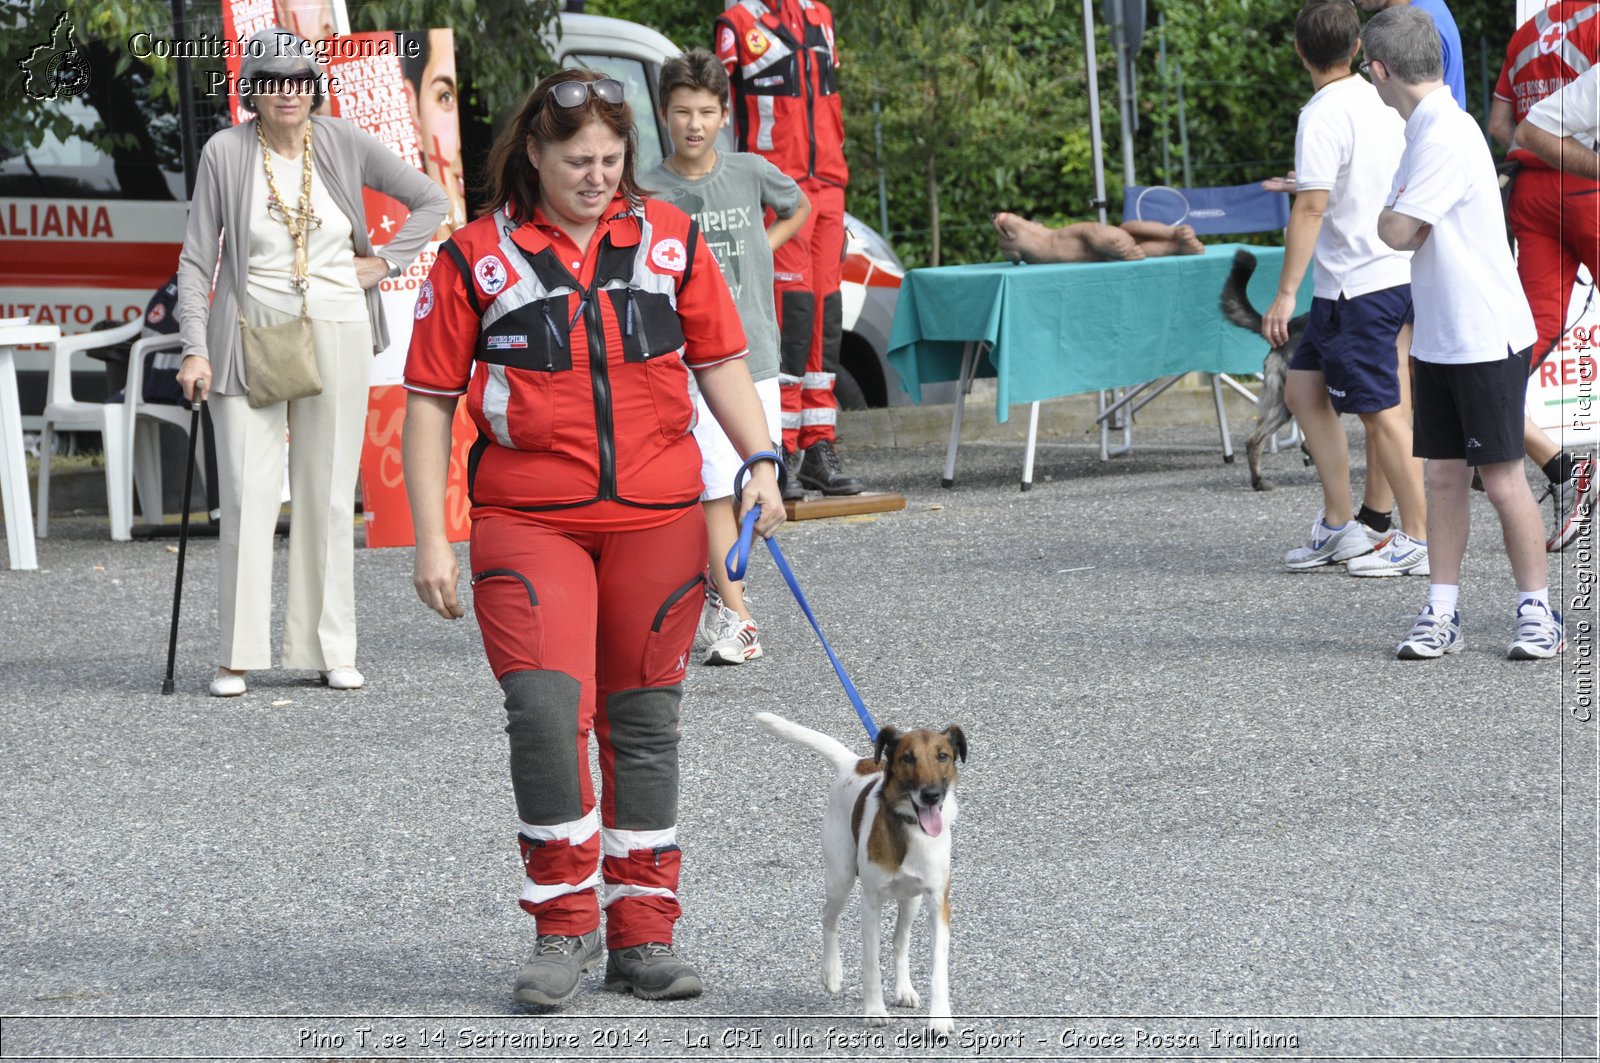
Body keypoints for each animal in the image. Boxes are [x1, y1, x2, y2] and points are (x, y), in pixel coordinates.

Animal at [755, 710, 966, 1030]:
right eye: (907, 758)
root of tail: (853, 762)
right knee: (828, 919)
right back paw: (832, 972)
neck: (909, 827)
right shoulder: (871, 903)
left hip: (912, 900)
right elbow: (871, 963)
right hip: (840, 878)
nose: (931, 795)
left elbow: (937, 968)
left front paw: (940, 1019)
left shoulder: (938, 902)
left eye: (943, 756)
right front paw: (875, 1010)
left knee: (900, 941)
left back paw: (904, 989)